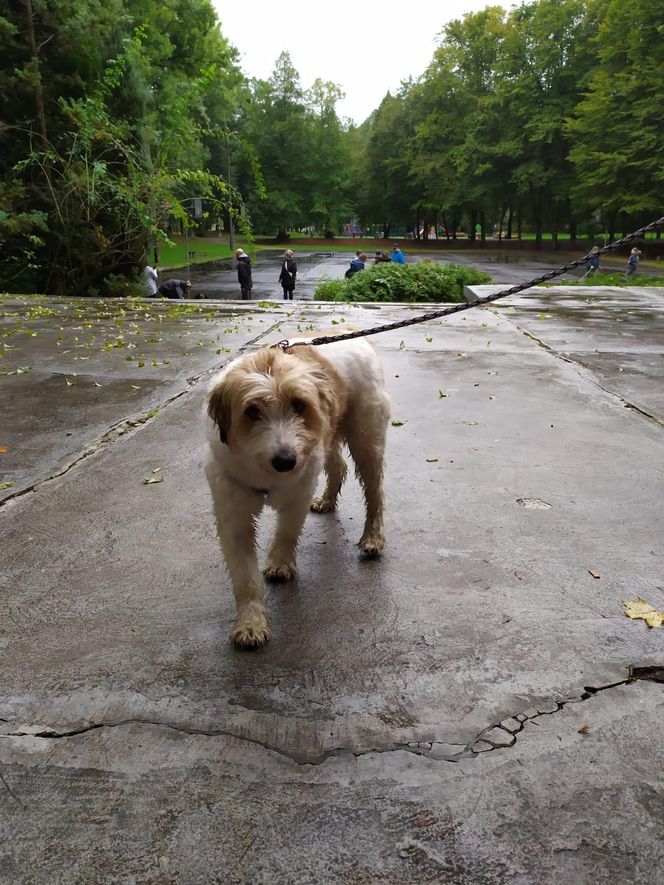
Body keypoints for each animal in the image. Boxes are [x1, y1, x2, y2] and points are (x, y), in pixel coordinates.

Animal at [205, 334, 392, 644]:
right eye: (252, 411)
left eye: (299, 405)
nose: (286, 461)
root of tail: (356, 333)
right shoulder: (233, 513)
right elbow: (245, 577)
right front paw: (251, 622)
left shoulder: (298, 493)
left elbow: (287, 532)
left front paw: (280, 563)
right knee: (338, 467)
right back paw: (327, 500)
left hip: (366, 439)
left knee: (375, 491)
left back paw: (372, 537)